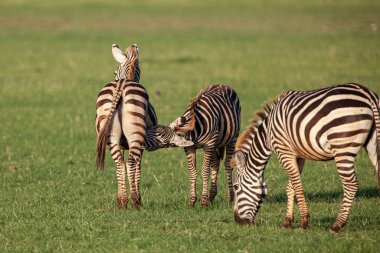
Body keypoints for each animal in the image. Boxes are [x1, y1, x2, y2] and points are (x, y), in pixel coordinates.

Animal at [95, 44, 193, 210]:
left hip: (111, 136)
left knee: (120, 164)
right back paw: (134, 202)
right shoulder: (142, 144)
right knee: (131, 163)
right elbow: (138, 168)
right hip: (135, 135)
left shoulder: (123, 144)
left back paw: (122, 202)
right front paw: (139, 198)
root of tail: (121, 84)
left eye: (114, 71)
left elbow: (123, 167)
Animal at [232, 83, 380, 233]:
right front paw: (287, 222)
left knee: (351, 185)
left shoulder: (283, 151)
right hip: (372, 145)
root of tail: (368, 95)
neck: (267, 134)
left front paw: (303, 222)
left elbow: (297, 186)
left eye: (236, 186)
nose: (238, 222)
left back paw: (336, 225)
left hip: (343, 147)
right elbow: (290, 187)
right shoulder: (298, 155)